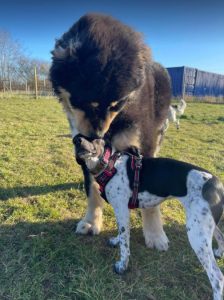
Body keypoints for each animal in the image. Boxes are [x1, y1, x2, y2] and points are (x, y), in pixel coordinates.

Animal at [50, 12, 172, 251]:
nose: (95, 136)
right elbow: (92, 191)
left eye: (117, 104)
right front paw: (91, 222)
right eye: (82, 102)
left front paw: (155, 234)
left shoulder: (144, 147)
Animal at [74, 136, 224, 300]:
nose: (77, 139)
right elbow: (122, 234)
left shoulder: (121, 209)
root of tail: (218, 185)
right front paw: (116, 240)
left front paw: (122, 265)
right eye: (76, 139)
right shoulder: (122, 211)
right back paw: (219, 252)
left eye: (95, 139)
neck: (110, 165)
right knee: (221, 236)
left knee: (217, 277)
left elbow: (125, 243)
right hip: (209, 225)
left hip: (197, 234)